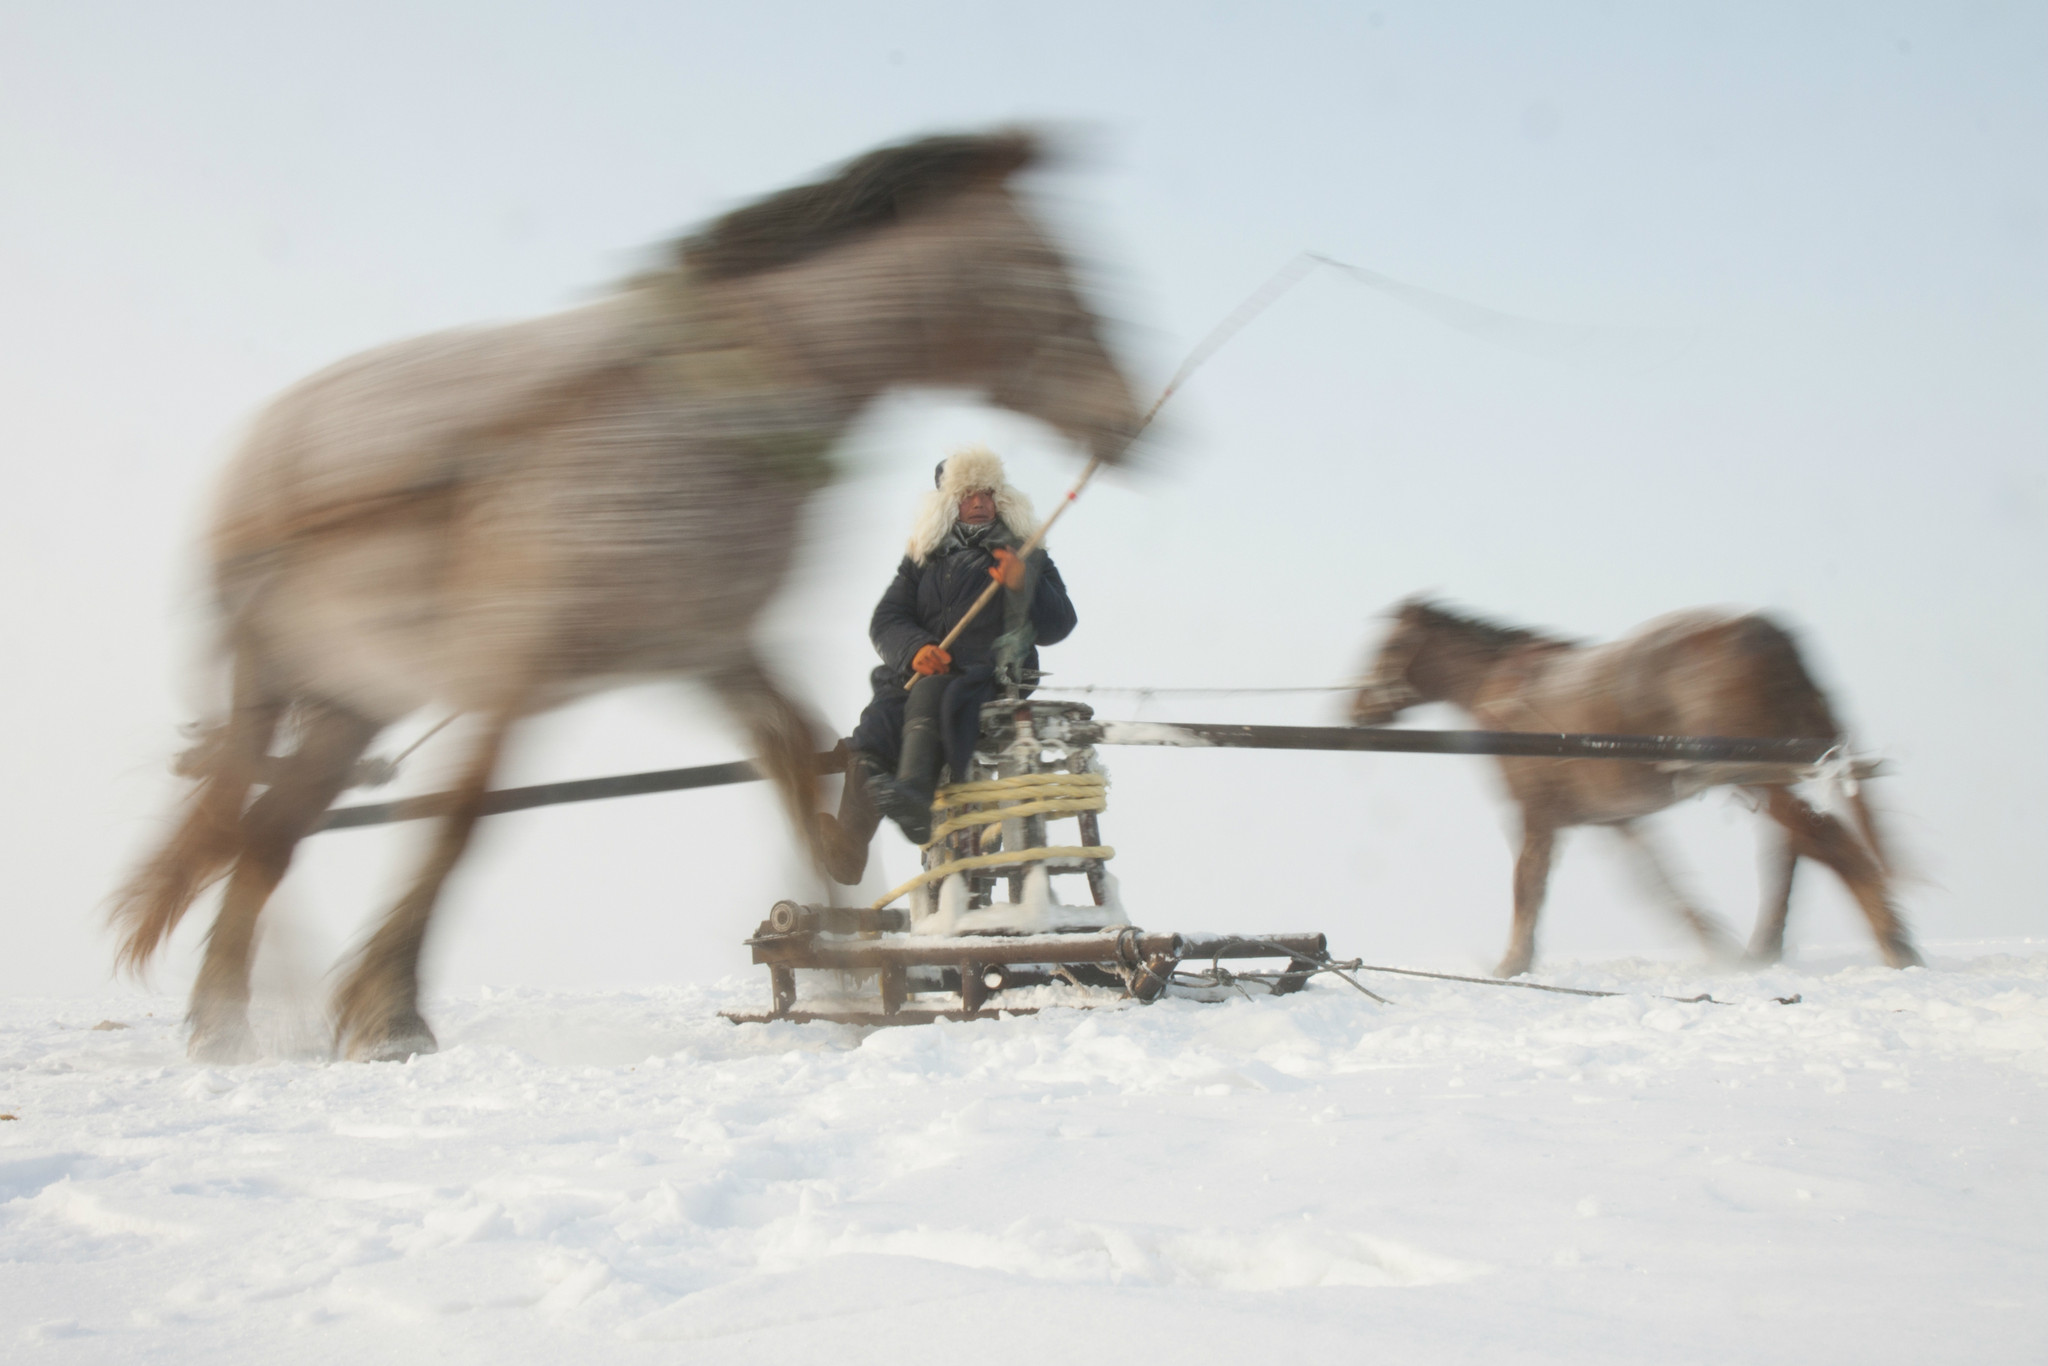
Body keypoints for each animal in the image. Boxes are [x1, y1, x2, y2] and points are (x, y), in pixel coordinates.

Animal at [112, 127, 1146, 1064]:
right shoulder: (520, 661)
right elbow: (461, 824)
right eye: (1047, 268)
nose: (1131, 413)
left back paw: (223, 1019)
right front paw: (388, 1011)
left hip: (349, 697)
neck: (699, 417)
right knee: (247, 823)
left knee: (266, 834)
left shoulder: (711, 645)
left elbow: (791, 751)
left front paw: (837, 960)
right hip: (269, 672)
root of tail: (261, 447)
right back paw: (229, 1018)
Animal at [1343, 593, 1916, 970]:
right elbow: (1660, 884)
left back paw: (1893, 942)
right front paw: (1718, 947)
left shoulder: (1536, 815)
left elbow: (1527, 886)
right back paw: (1770, 948)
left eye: (1389, 646)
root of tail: (1770, 634)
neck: (1502, 689)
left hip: (1755, 779)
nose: (1352, 707)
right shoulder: (1617, 819)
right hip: (1764, 779)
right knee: (1796, 848)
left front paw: (1511, 965)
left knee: (1822, 842)